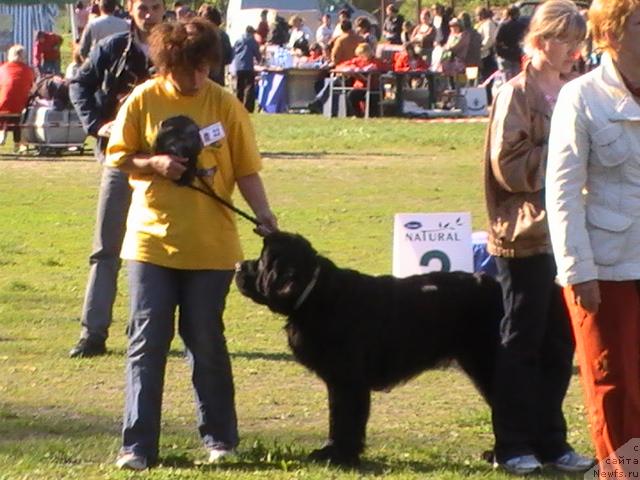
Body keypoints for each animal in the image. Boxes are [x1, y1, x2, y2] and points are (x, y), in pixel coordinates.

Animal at [235, 232, 504, 464]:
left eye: (261, 261)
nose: (238, 265)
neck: (316, 294)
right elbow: (338, 416)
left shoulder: (347, 380)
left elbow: (344, 417)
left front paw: (339, 455)